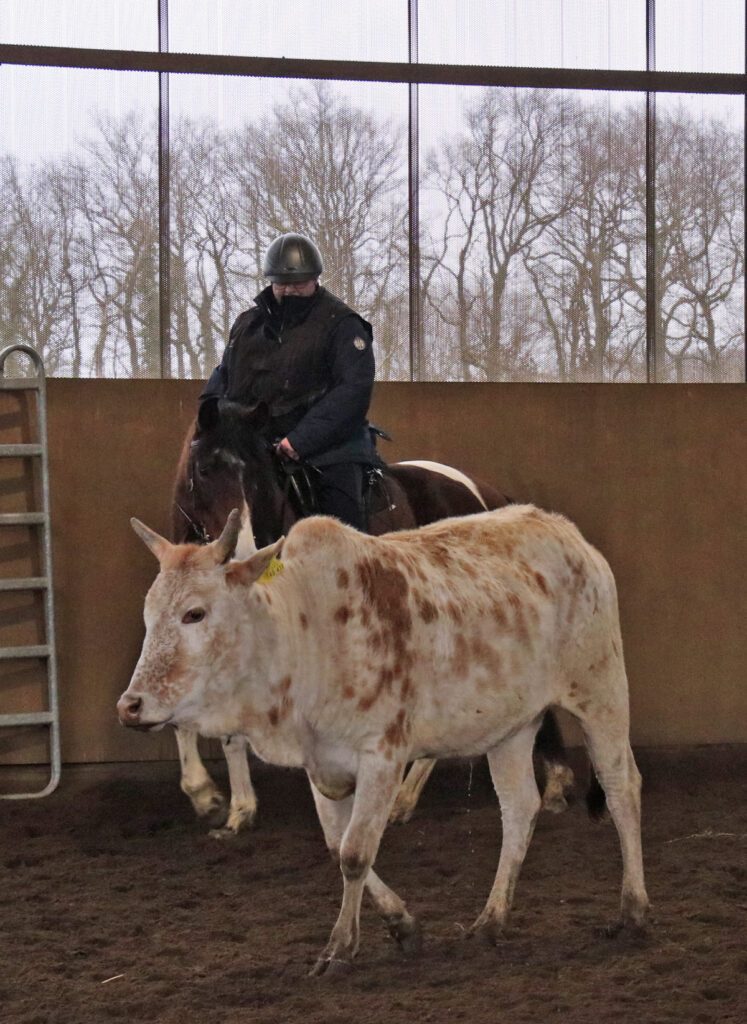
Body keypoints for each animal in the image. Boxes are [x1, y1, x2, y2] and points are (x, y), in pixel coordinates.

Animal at [117, 503, 647, 974]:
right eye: (147, 614)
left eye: (195, 613)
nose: (130, 706)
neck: (303, 632)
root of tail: (569, 535)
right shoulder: (321, 764)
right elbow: (338, 846)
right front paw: (402, 925)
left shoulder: (382, 755)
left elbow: (355, 852)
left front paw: (339, 948)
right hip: (511, 728)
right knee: (519, 809)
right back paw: (490, 921)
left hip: (601, 690)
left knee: (622, 789)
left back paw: (633, 911)